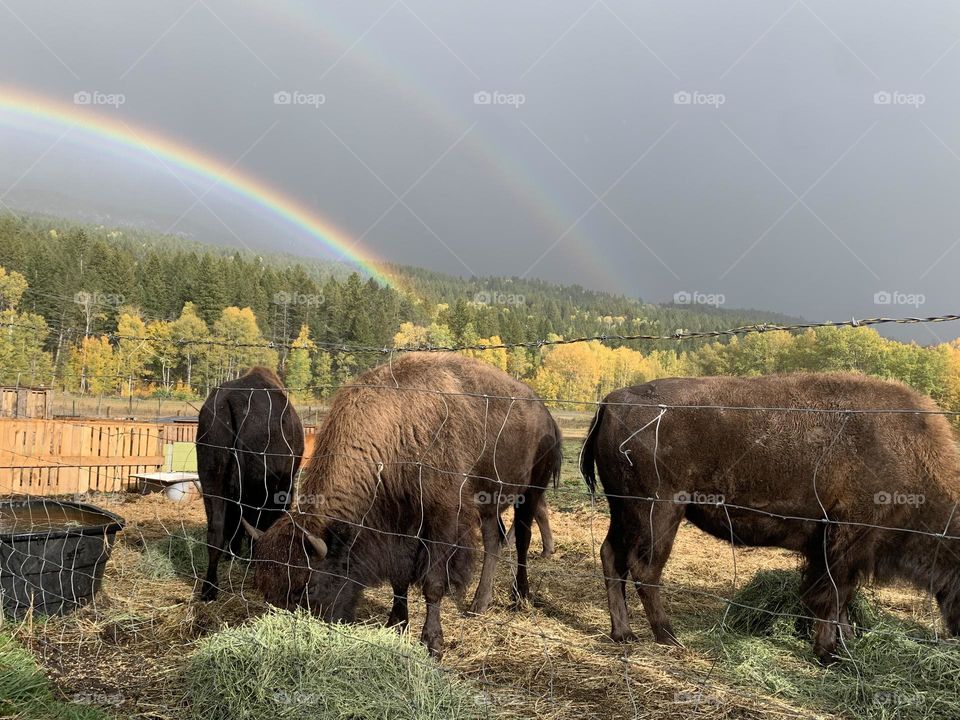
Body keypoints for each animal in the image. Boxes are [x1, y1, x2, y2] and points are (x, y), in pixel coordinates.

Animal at [242, 353, 562, 655]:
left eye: (306, 589)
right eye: (265, 589)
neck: (396, 428)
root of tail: (547, 415)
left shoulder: (442, 520)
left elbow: (433, 583)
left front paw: (432, 642)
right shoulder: (399, 526)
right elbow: (400, 578)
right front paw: (395, 624)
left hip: (529, 492)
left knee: (522, 539)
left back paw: (519, 596)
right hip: (489, 503)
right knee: (494, 540)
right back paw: (478, 605)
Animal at [580, 373, 960, 662]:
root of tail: (610, 402)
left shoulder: (832, 550)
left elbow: (838, 599)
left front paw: (844, 643)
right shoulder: (846, 541)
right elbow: (834, 596)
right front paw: (828, 653)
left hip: (625, 512)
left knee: (612, 557)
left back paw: (623, 634)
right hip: (659, 511)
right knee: (645, 569)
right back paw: (669, 637)